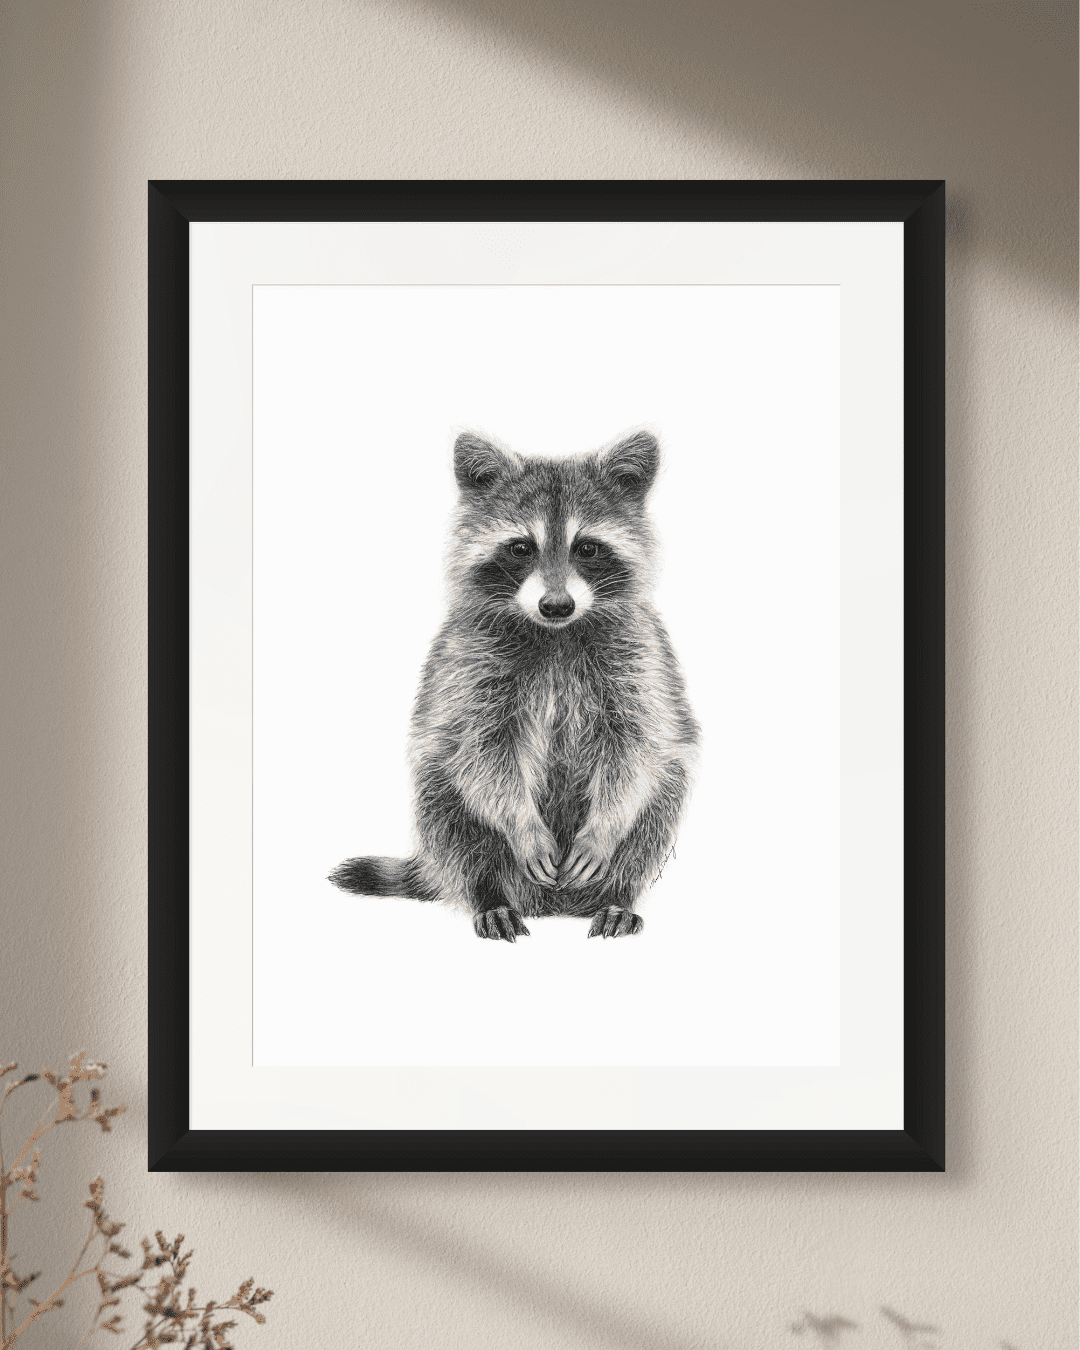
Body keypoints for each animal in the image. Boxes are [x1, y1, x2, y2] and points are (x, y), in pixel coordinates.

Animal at [329, 430, 699, 940]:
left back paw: (618, 894)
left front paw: (601, 831)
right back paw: (490, 895)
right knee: (449, 809)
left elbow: (638, 747)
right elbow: (481, 752)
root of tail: (552, 905)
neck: (556, 633)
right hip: (443, 807)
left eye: (587, 548)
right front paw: (524, 830)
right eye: (521, 547)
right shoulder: (469, 665)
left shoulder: (640, 657)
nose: (557, 605)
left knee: (658, 805)